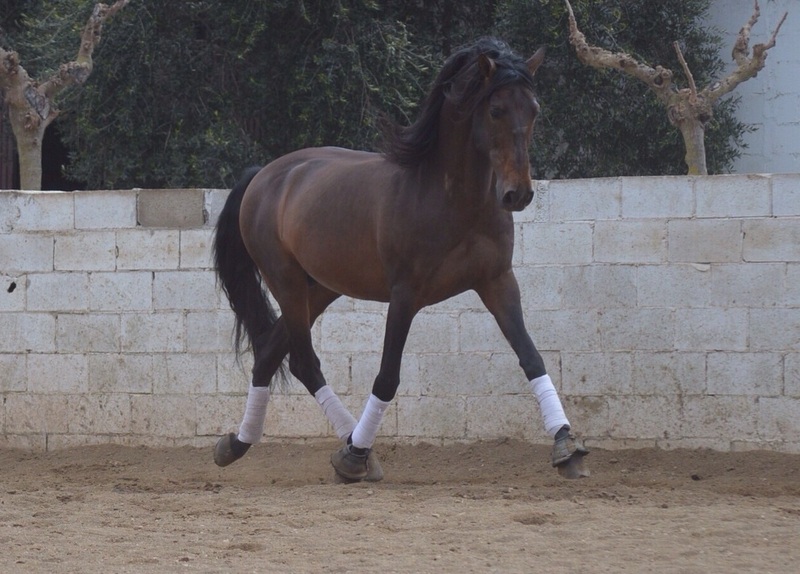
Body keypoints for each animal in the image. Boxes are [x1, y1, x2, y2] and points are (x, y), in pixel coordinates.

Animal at [212, 37, 588, 481]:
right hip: (285, 282)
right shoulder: (405, 295)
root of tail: (264, 175)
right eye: (495, 110)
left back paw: (237, 444)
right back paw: (350, 450)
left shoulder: (497, 281)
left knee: (271, 351)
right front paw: (355, 455)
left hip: (318, 288)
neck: (452, 199)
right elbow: (388, 375)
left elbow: (531, 358)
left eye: (534, 109)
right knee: (304, 362)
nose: (518, 194)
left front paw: (566, 446)